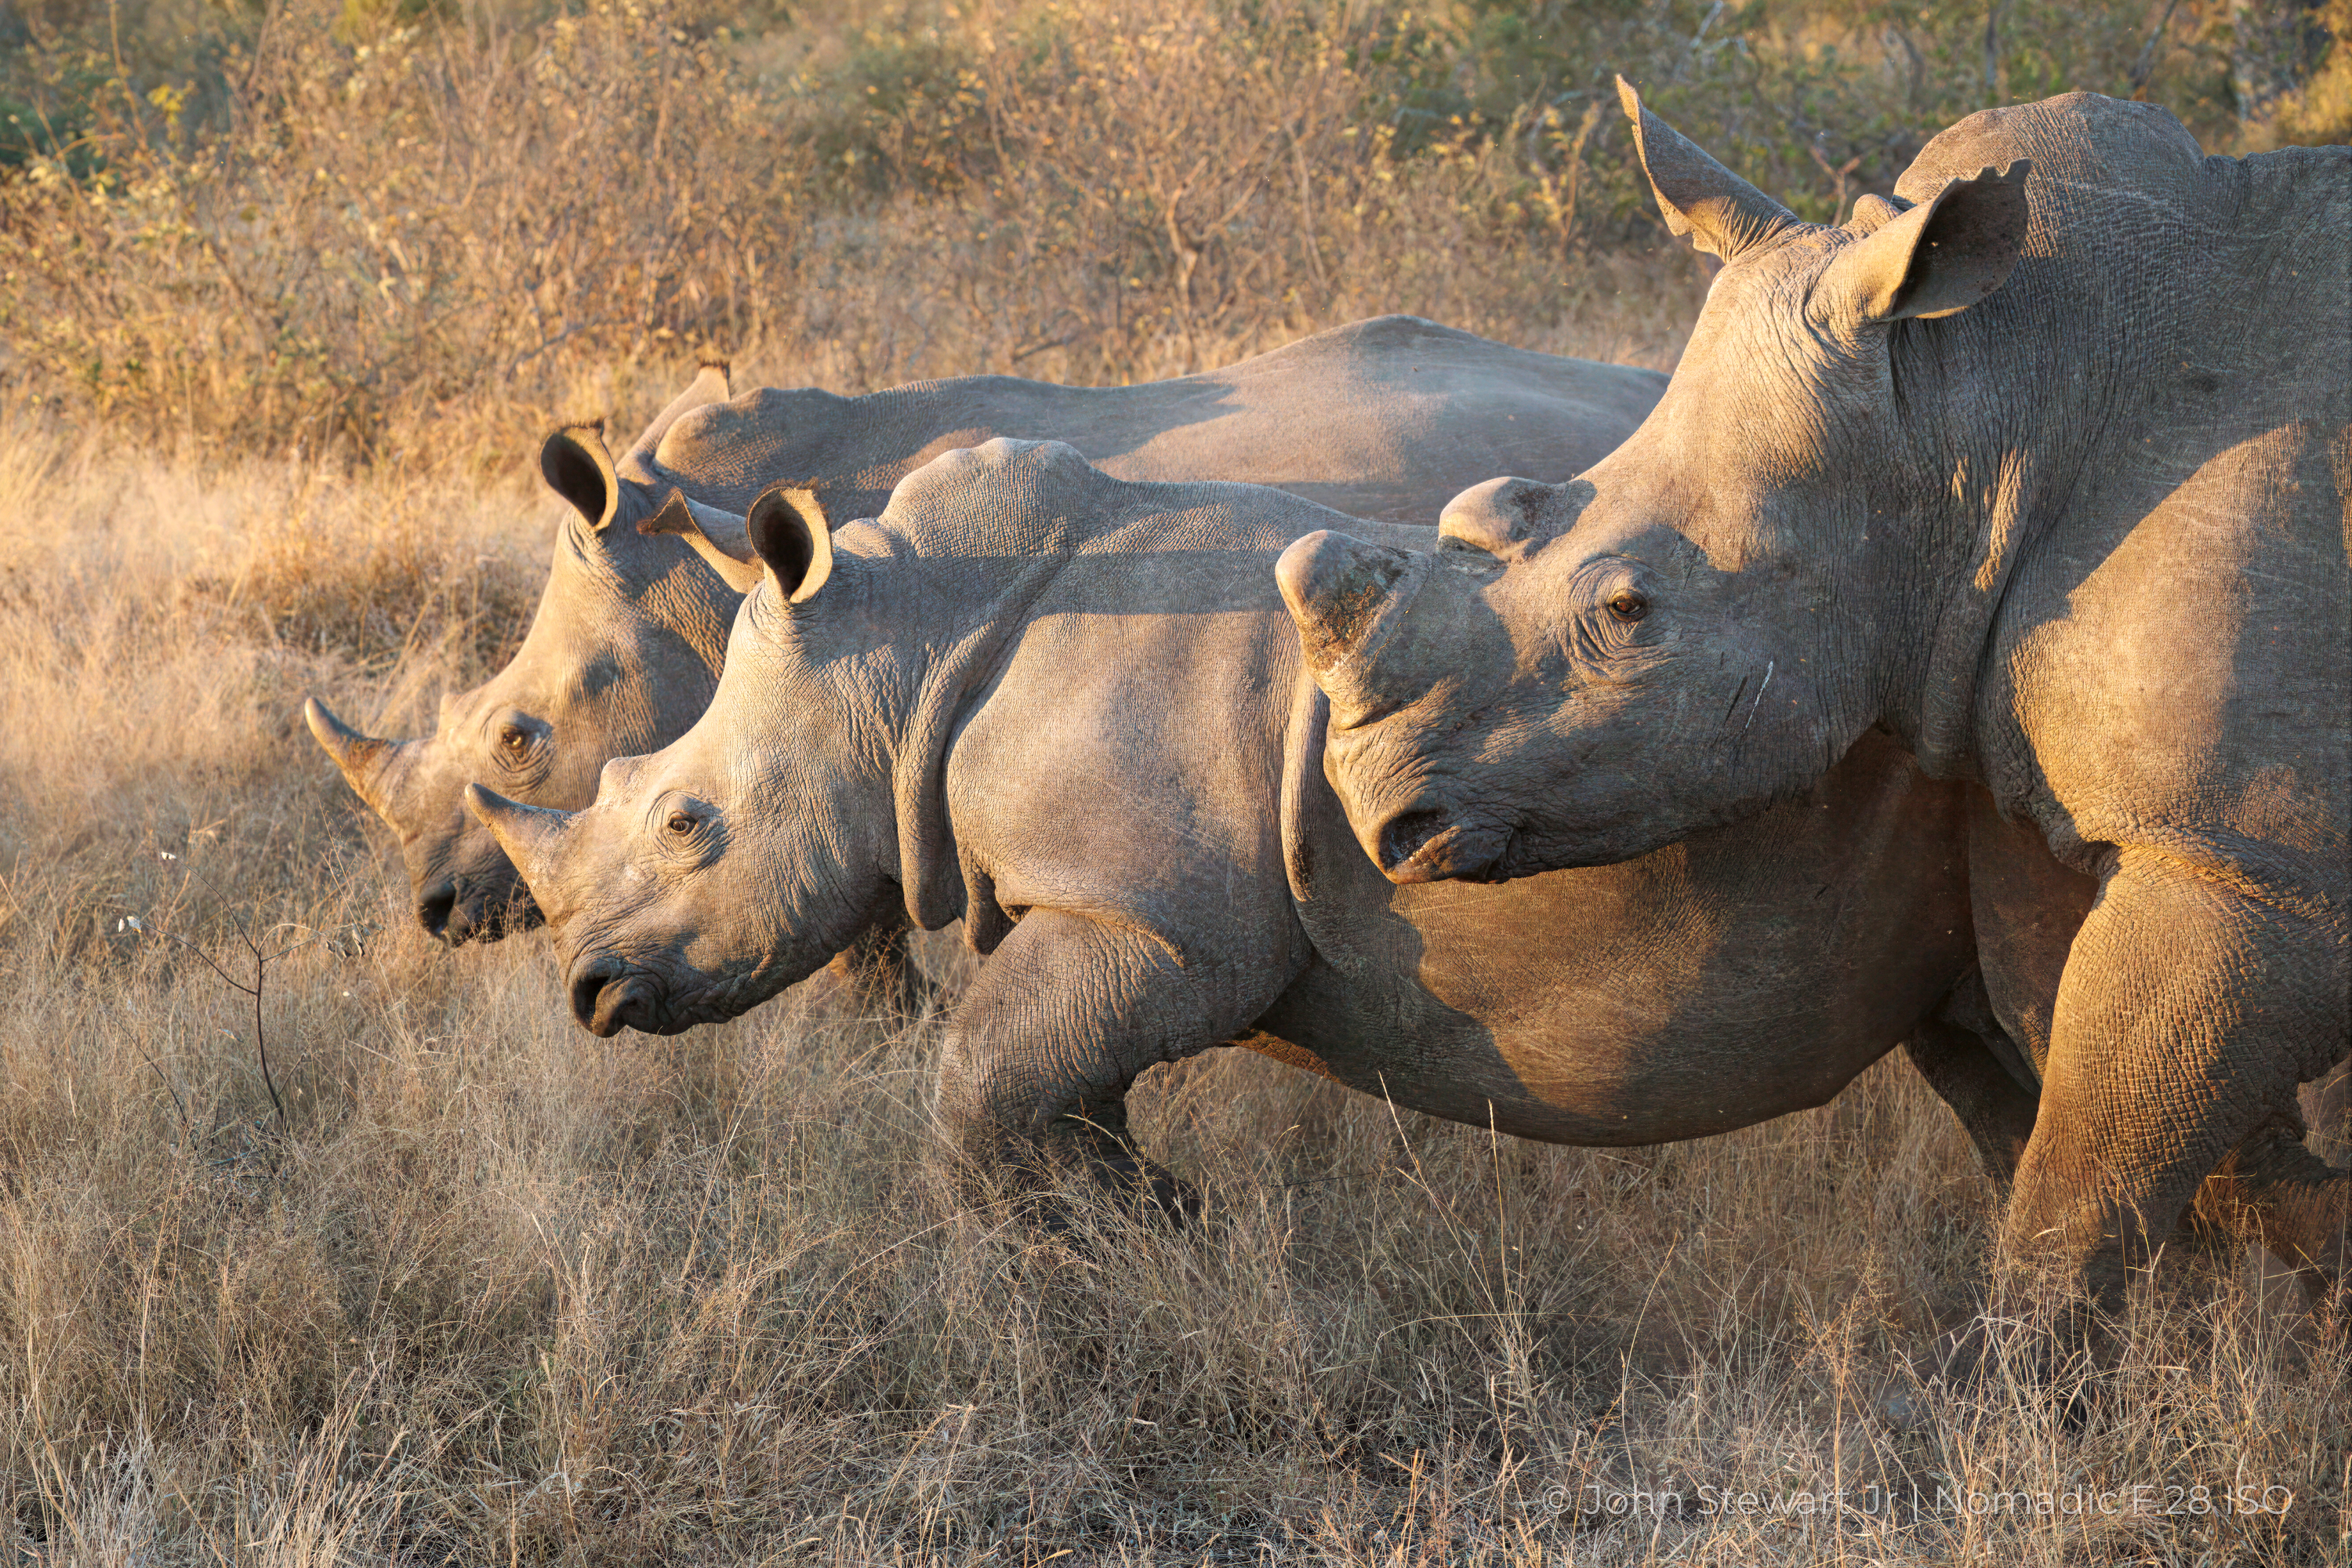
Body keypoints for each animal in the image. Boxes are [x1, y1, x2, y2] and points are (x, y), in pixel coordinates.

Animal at [464, 439, 2091, 1220]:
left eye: (691, 823)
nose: (589, 995)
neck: (902, 652)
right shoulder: (1111, 921)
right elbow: (1046, 1093)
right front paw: (1161, 1230)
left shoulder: (1159, 923)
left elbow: (983, 1084)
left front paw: (1104, 1259)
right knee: (1986, 1063)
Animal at [1278, 87, 2349, 1312]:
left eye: (1629, 610)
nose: (1373, 808)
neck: (1981, 402)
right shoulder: (2188, 832)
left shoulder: (2255, 864)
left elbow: (2090, 1166)